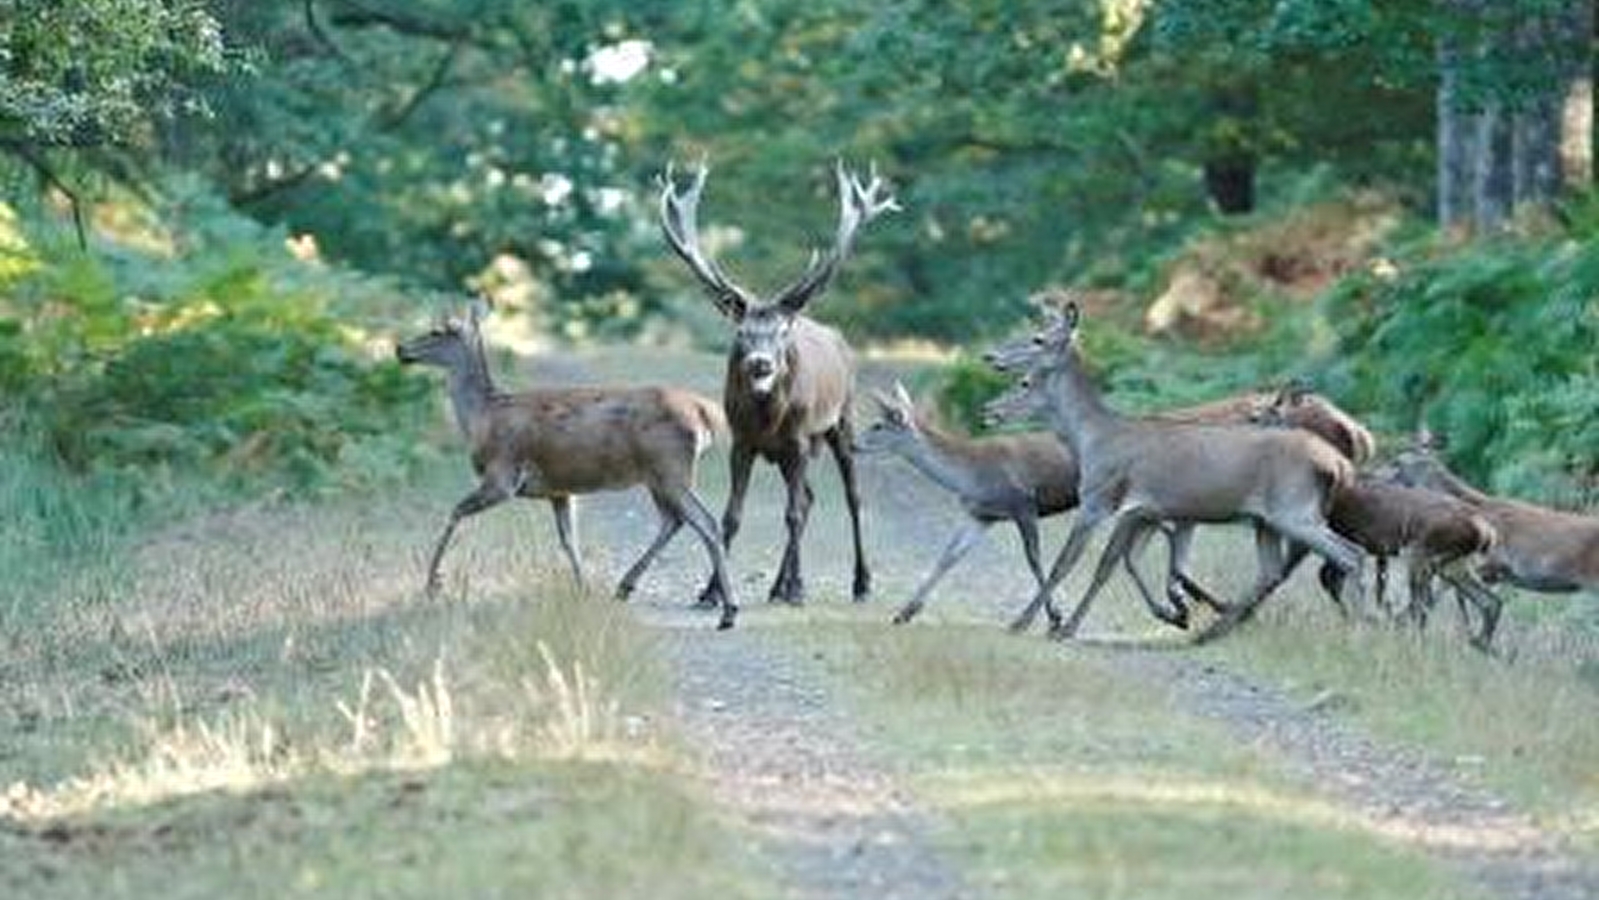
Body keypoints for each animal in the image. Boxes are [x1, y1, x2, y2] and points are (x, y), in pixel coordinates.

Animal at [396, 298, 732, 629]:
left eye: (439, 330)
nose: (401, 349)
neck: (483, 419)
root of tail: (703, 412)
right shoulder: (559, 490)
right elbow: (569, 541)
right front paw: (583, 590)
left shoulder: (503, 475)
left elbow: (455, 512)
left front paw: (432, 584)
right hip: (658, 476)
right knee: (673, 521)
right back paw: (625, 586)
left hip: (670, 469)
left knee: (705, 522)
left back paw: (728, 610)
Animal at [655, 163, 895, 613]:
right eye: (742, 332)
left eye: (782, 332)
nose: (761, 365)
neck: (768, 417)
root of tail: (841, 341)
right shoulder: (742, 440)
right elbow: (731, 515)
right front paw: (711, 592)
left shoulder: (799, 439)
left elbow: (792, 514)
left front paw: (799, 589)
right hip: (789, 452)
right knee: (809, 497)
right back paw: (777, 586)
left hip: (840, 420)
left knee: (850, 497)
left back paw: (859, 583)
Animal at [978, 298, 1368, 645]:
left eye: (1037, 339)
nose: (990, 357)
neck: (1092, 441)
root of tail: (1339, 463)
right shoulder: (1147, 511)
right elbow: (1119, 563)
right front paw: (1171, 612)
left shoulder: (1101, 500)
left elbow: (1074, 562)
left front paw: (1037, 624)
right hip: (1269, 519)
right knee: (1275, 570)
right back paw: (1213, 631)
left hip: (1294, 509)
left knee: (1350, 556)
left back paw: (1358, 630)